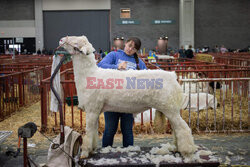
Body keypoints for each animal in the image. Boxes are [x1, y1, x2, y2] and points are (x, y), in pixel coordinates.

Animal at [59, 35, 197, 159]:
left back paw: (187, 152)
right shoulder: (95, 110)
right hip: (170, 109)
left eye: (76, 43)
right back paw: (176, 148)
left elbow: (88, 132)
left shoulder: (92, 109)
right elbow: (93, 131)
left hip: (170, 108)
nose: (61, 39)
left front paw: (84, 153)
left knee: (184, 129)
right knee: (176, 129)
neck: (89, 74)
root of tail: (172, 76)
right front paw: (92, 149)